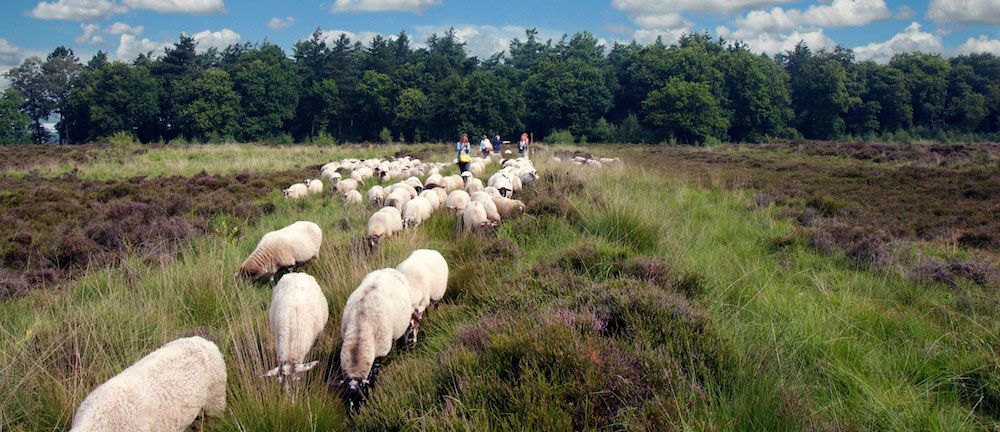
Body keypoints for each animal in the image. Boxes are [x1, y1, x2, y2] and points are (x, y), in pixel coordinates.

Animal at [336, 266, 414, 412]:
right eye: (345, 398)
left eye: (361, 395)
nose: (354, 414)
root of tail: (386, 269)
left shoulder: (380, 353)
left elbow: (373, 376)